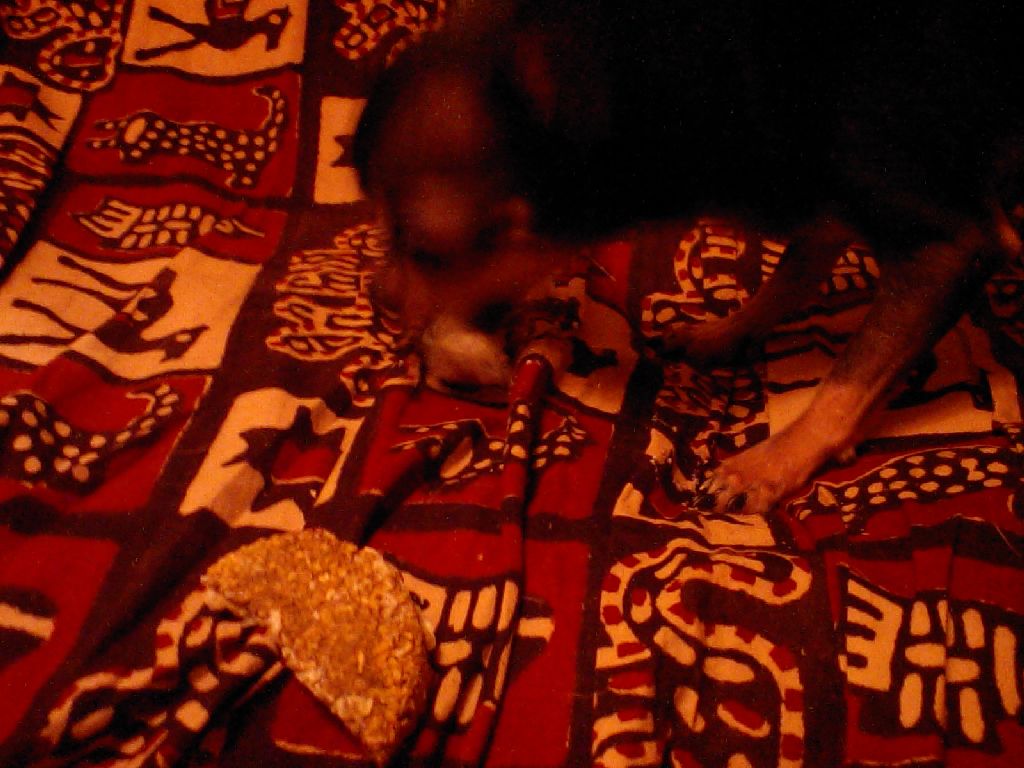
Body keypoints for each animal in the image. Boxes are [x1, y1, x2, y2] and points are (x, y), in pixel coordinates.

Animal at [353, 0, 1024, 515]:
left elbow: (847, 379)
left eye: (428, 252)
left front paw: (768, 466)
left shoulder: (948, 247)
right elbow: (790, 277)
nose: (377, 298)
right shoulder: (821, 203)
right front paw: (724, 334)